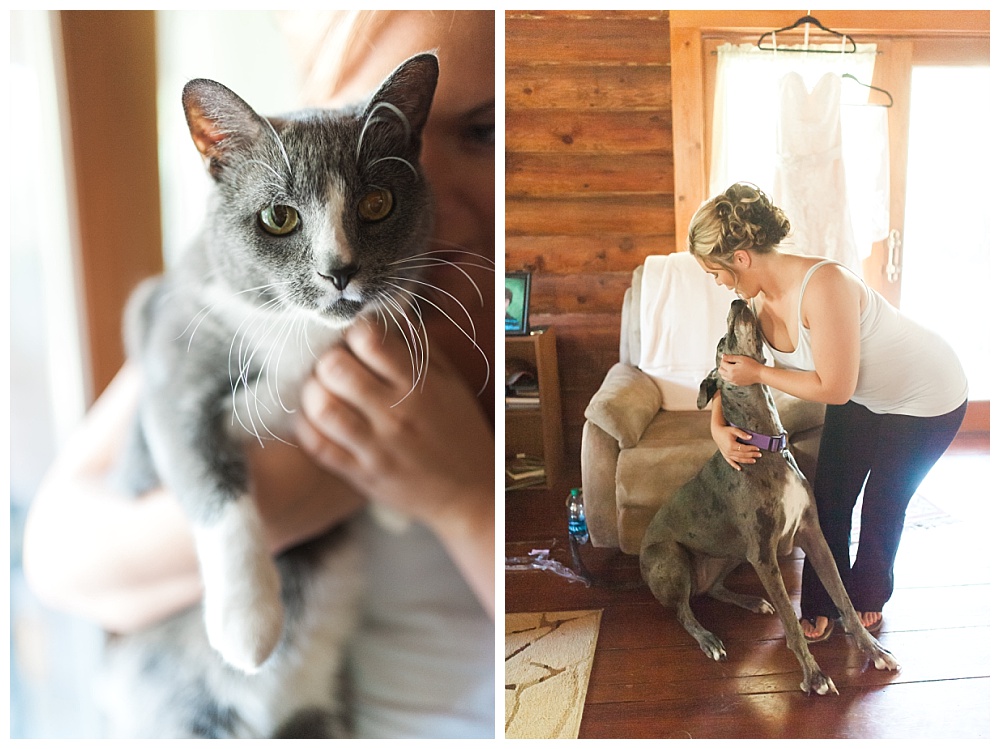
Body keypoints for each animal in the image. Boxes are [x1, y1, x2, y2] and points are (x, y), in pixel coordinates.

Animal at [103, 52, 440, 736]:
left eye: (377, 202)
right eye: (278, 217)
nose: (339, 271)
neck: (301, 332)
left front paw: (395, 505)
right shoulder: (167, 364)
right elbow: (214, 483)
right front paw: (247, 628)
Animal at [640, 298, 900, 696]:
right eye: (721, 344)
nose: (736, 301)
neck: (767, 443)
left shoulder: (811, 534)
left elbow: (842, 596)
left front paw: (874, 651)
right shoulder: (763, 553)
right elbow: (791, 622)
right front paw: (814, 675)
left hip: (731, 554)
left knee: (715, 588)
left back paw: (750, 601)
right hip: (672, 559)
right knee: (683, 613)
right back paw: (709, 639)